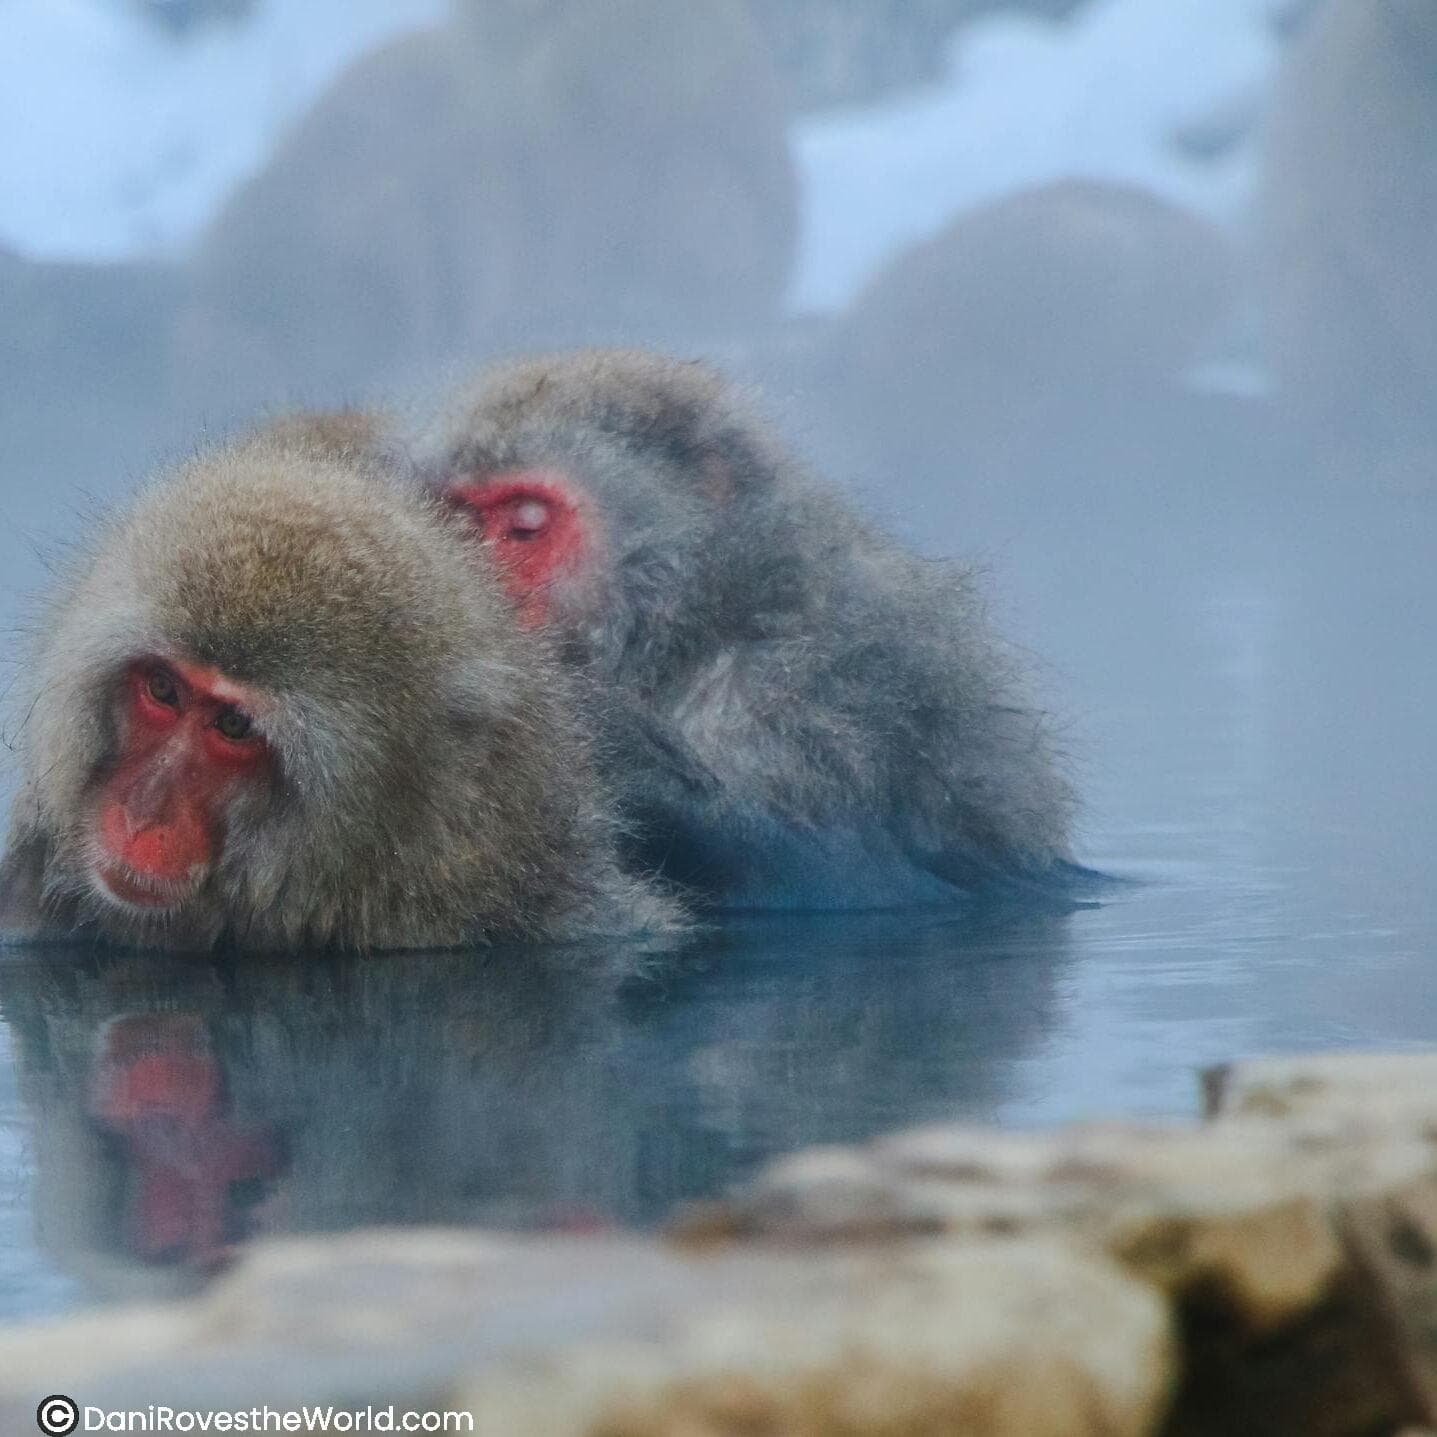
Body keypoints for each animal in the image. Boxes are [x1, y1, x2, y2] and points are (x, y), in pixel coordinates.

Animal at [416, 348, 1079, 911]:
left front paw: (610, 744)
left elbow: (844, 875)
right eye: (463, 521)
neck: (697, 623)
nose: (480, 589)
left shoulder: (810, 688)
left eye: (525, 526)